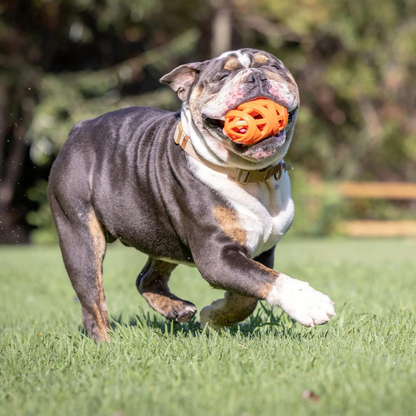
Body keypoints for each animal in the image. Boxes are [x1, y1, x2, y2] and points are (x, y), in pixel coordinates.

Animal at [48, 48, 334, 342]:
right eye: (222, 77)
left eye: (274, 67)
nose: (256, 76)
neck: (248, 174)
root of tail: (79, 128)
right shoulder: (216, 256)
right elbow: (267, 279)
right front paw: (309, 303)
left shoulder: (261, 252)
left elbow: (248, 296)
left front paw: (215, 317)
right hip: (81, 238)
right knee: (93, 299)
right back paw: (106, 343)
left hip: (162, 235)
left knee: (146, 276)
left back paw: (176, 309)